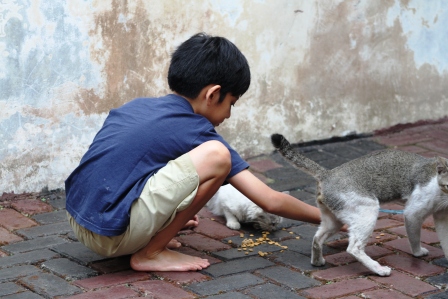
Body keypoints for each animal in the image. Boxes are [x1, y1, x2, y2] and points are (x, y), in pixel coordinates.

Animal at [272, 134, 448, 276]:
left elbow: (445, 241)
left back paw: (317, 261)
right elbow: (414, 237)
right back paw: (379, 269)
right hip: (368, 210)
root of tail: (327, 173)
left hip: (334, 220)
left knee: (317, 238)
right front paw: (418, 253)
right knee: (354, 248)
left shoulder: (442, 217)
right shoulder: (413, 213)